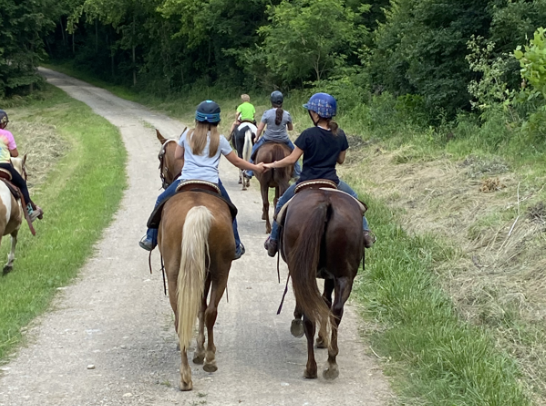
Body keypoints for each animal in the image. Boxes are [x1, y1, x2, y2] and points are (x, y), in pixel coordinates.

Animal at [278, 187, 364, 380]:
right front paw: (322, 339)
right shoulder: (330, 276)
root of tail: (326, 203)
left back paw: (311, 368)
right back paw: (331, 362)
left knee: (310, 316)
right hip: (344, 276)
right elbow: (325, 302)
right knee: (336, 311)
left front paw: (298, 323)